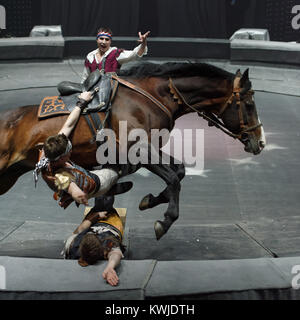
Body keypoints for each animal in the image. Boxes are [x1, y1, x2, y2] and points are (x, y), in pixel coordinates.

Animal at [0, 61, 264, 239]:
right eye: (249, 104)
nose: (259, 142)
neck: (153, 97)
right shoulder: (138, 150)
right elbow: (173, 179)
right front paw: (165, 220)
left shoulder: (148, 149)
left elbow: (178, 171)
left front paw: (152, 200)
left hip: (9, 176)